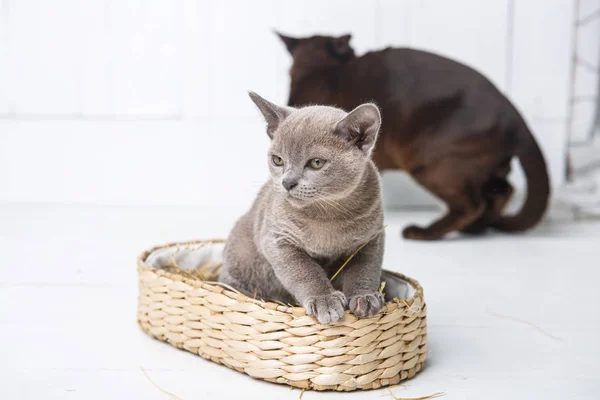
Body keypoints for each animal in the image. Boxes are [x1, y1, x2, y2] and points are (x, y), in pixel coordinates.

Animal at [219, 92, 384, 324]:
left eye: (316, 163)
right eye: (278, 160)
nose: (287, 182)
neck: (327, 215)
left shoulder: (371, 238)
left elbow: (365, 269)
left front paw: (365, 297)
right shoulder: (277, 239)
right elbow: (304, 271)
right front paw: (325, 300)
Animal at [276, 32, 548, 239]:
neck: (318, 70)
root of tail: (514, 114)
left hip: (428, 163)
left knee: (472, 204)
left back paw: (424, 233)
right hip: (487, 168)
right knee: (502, 192)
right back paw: (477, 230)